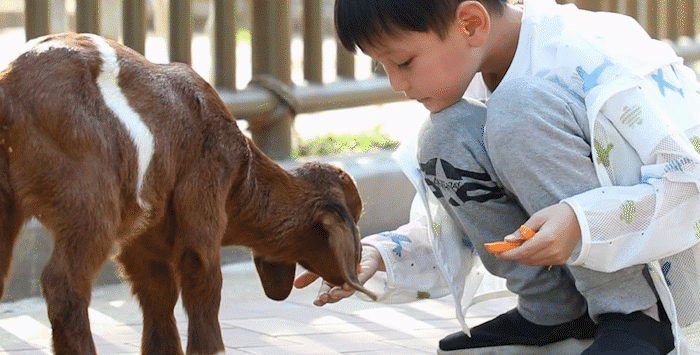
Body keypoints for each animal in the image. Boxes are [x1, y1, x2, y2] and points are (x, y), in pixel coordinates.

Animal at [0, 33, 378, 355]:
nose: (357, 267)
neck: (243, 175)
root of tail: (10, 92)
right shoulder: (204, 197)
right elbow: (203, 280)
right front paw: (212, 348)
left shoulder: (145, 237)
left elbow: (158, 292)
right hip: (89, 203)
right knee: (63, 283)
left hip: (10, 203)